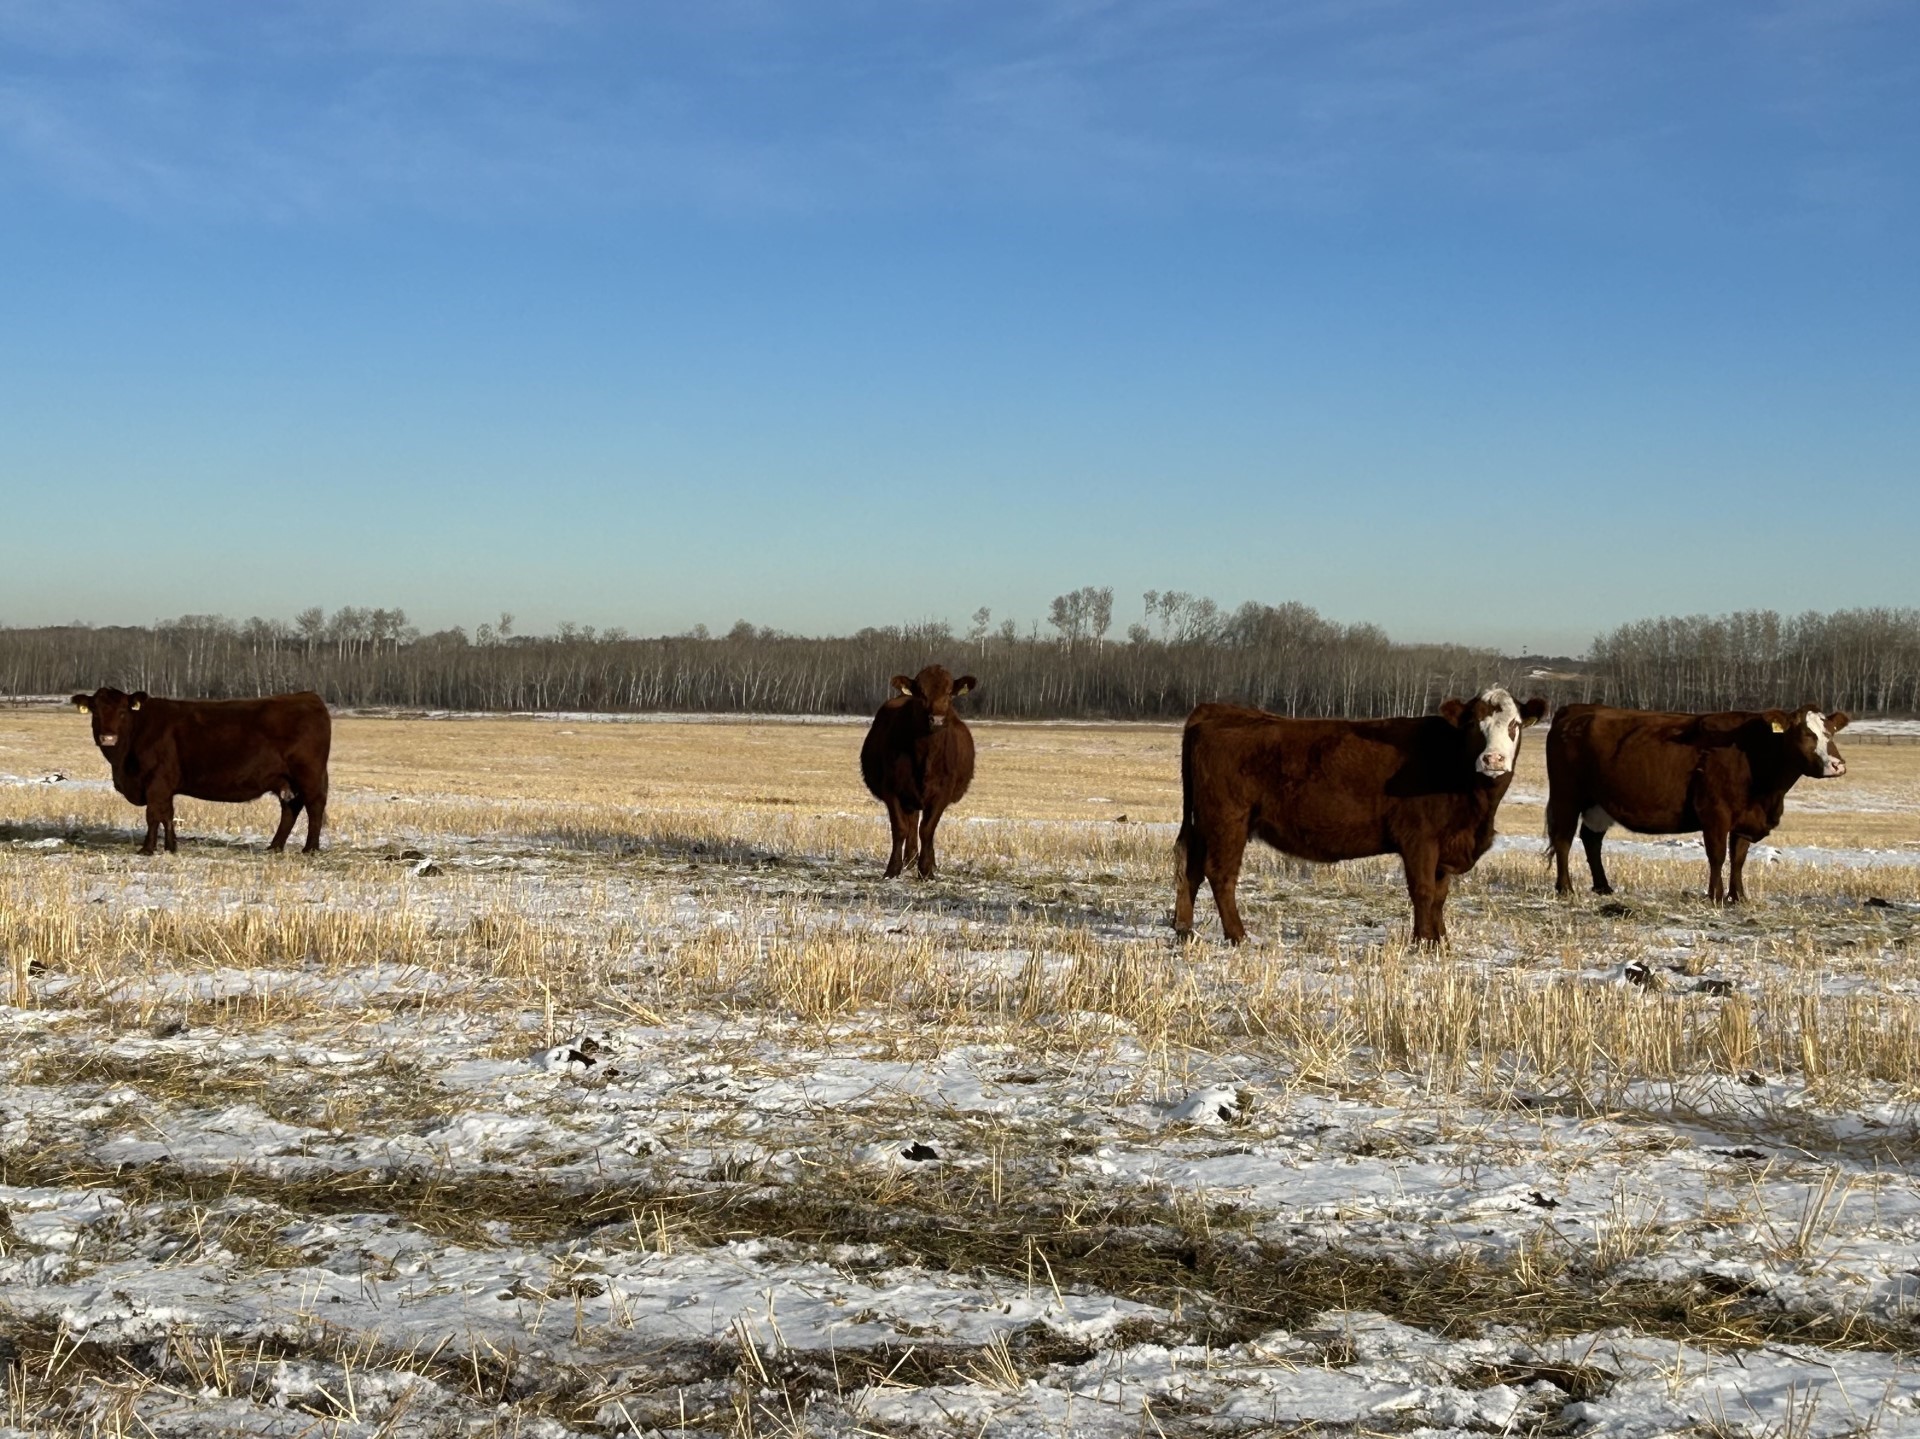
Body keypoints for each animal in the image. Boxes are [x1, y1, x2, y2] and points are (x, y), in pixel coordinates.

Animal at [71, 687, 332, 853]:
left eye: (123, 712)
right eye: (96, 712)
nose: (107, 738)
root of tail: (308, 697)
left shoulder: (156, 781)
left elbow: (153, 815)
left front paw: (147, 849)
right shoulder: (165, 786)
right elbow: (167, 814)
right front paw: (171, 847)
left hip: (308, 775)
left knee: (314, 806)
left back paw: (310, 848)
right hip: (286, 780)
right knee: (290, 809)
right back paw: (274, 846)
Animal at [860, 660, 975, 876]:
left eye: (949, 692)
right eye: (921, 692)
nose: (936, 719)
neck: (925, 757)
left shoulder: (943, 792)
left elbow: (928, 829)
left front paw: (927, 870)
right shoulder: (892, 789)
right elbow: (900, 828)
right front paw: (893, 869)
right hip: (909, 797)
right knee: (912, 824)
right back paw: (909, 860)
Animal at [1167, 691, 1543, 949]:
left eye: (1514, 725)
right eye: (1474, 726)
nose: (1493, 759)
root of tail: (1215, 711)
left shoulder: (1445, 845)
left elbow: (1440, 895)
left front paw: (1441, 942)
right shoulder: (1419, 840)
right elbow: (1423, 892)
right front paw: (1422, 943)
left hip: (1204, 823)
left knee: (1190, 867)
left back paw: (1184, 930)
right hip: (1228, 820)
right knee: (1220, 874)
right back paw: (1239, 936)